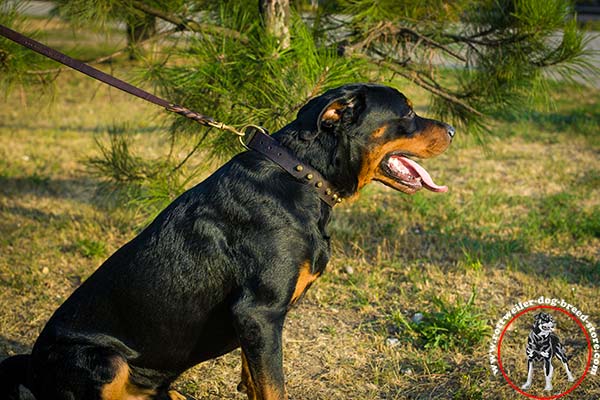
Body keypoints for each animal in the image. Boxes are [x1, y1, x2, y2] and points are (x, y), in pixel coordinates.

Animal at [0, 83, 450, 398]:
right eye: (408, 112)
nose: (450, 128)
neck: (301, 174)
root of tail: (31, 368)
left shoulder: (255, 325)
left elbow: (254, 380)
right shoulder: (258, 312)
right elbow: (273, 388)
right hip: (104, 361)